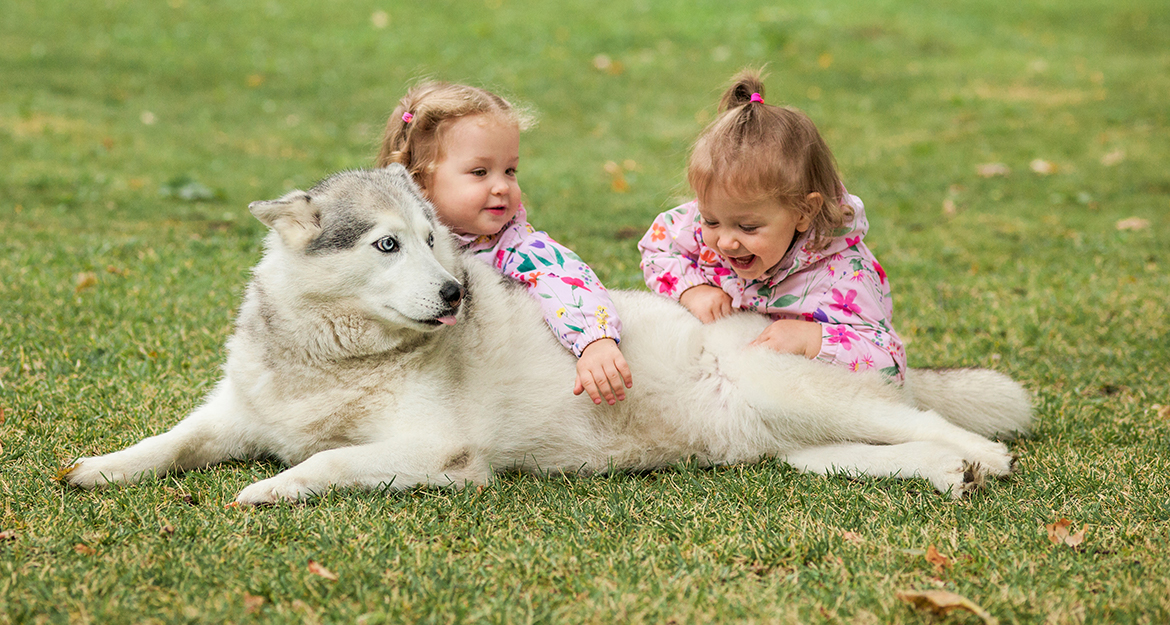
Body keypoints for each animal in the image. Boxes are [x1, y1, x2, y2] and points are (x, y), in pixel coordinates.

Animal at [64, 165, 1034, 505]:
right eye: (388, 244)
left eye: (436, 240)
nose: (457, 291)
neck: (331, 360)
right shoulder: (231, 415)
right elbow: (169, 441)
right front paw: (102, 467)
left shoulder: (438, 453)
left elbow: (330, 461)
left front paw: (273, 487)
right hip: (794, 444)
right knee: (887, 448)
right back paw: (947, 472)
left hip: (792, 386)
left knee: (937, 423)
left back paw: (981, 457)